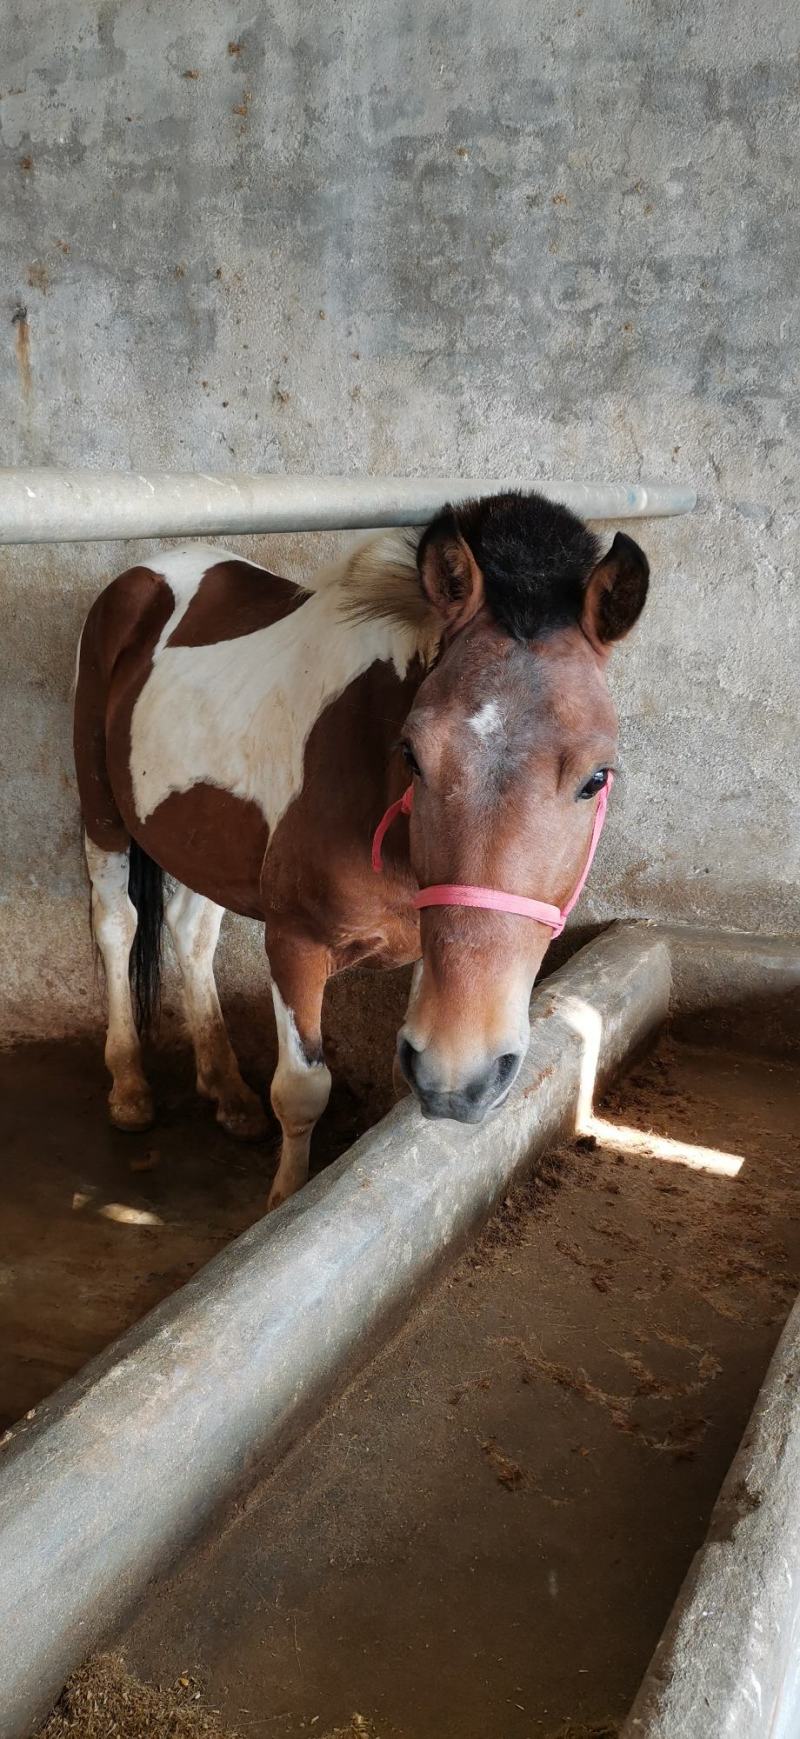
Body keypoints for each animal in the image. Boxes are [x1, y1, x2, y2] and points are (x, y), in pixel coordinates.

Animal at [73, 489, 649, 1209]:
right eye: (413, 753)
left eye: (596, 777)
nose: (463, 1078)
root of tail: (143, 573)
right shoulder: (294, 945)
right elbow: (302, 1091)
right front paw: (284, 1206)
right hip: (100, 809)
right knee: (117, 924)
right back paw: (129, 1087)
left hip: (204, 840)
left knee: (190, 933)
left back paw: (228, 1093)